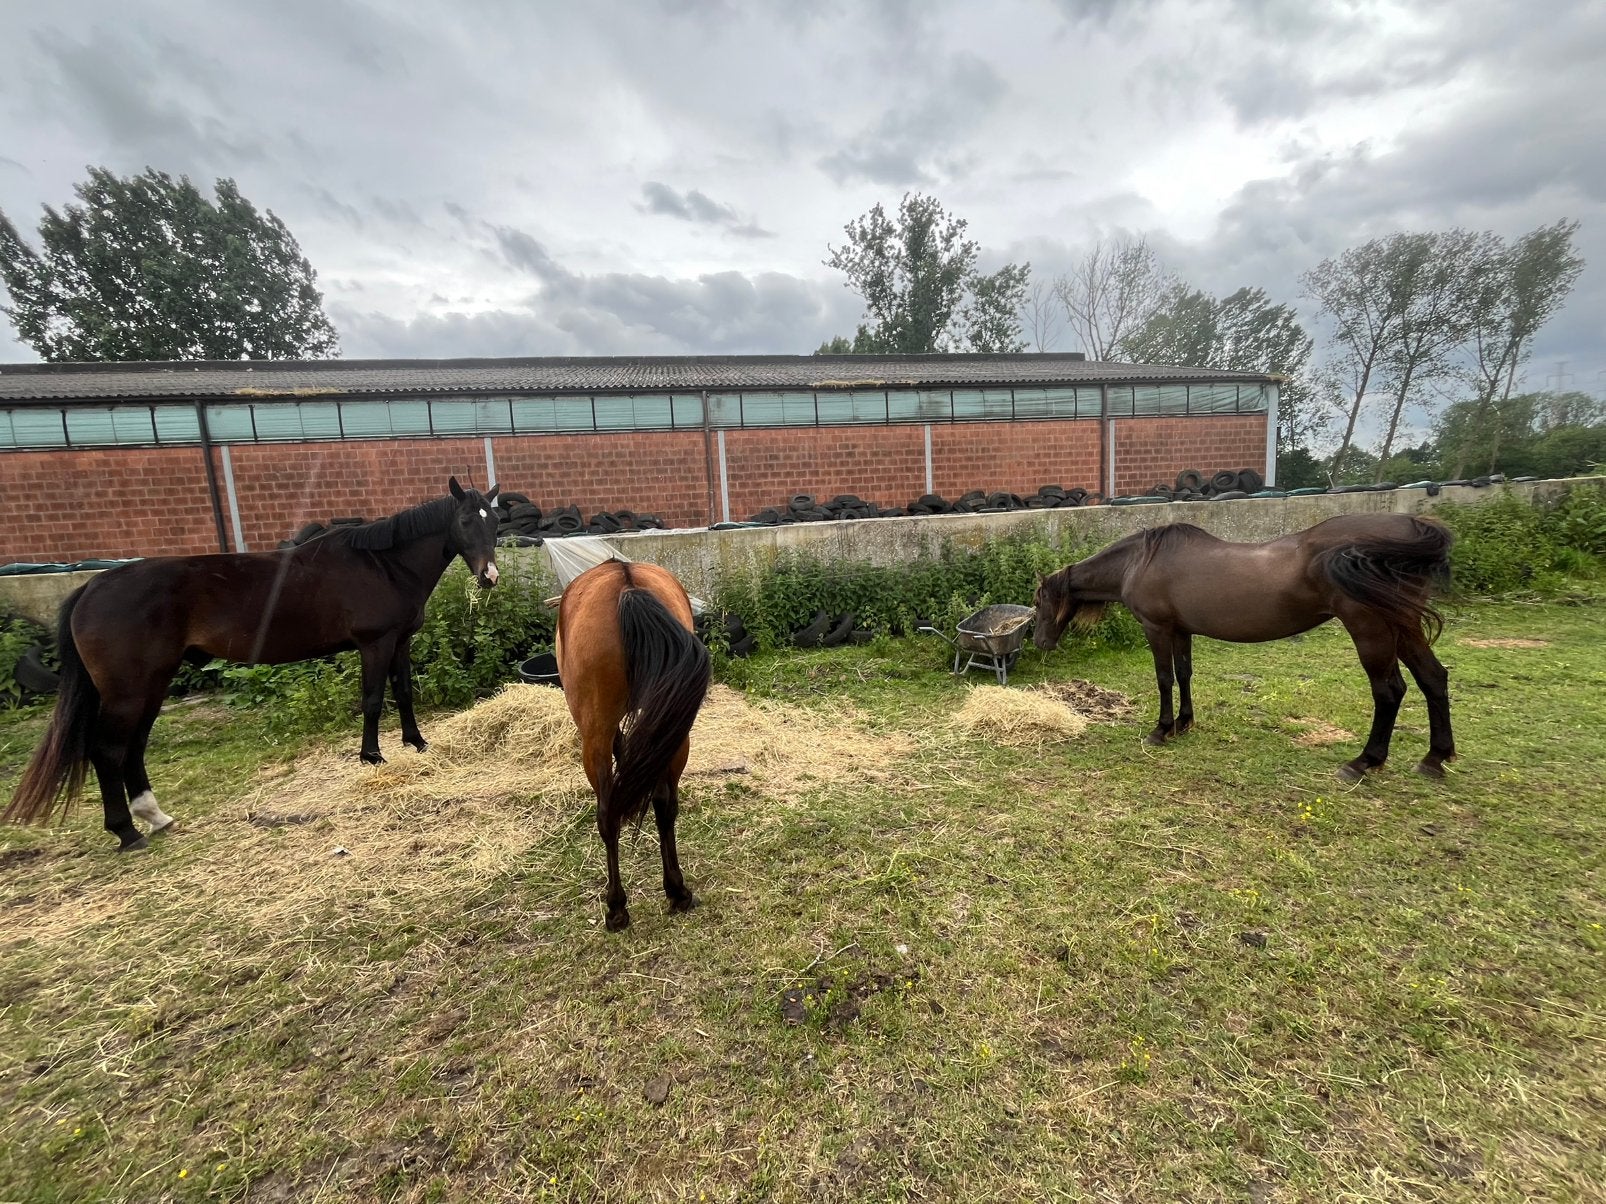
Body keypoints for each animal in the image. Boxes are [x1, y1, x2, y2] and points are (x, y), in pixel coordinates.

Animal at [4, 477, 501, 850]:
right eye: (463, 521)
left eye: (494, 522)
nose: (490, 576)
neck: (382, 564)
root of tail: (93, 585)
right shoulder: (374, 645)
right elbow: (374, 700)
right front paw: (371, 756)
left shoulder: (399, 643)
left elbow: (403, 693)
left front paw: (417, 743)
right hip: (128, 689)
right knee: (108, 750)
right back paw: (127, 832)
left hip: (153, 683)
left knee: (134, 746)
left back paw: (154, 816)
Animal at [555, 559, 711, 931]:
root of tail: (625, 583)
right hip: (676, 733)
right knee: (665, 805)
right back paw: (677, 891)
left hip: (594, 736)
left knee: (607, 814)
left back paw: (616, 908)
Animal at [1032, 513, 1455, 781]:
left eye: (1039, 602)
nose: (1040, 643)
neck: (1141, 561)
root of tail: (1412, 526)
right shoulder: (1181, 630)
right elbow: (1184, 674)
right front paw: (1184, 723)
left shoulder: (1158, 629)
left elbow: (1165, 678)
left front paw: (1161, 729)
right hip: (1404, 626)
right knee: (1433, 678)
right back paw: (1434, 759)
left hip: (1370, 629)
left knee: (1389, 691)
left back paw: (1363, 762)